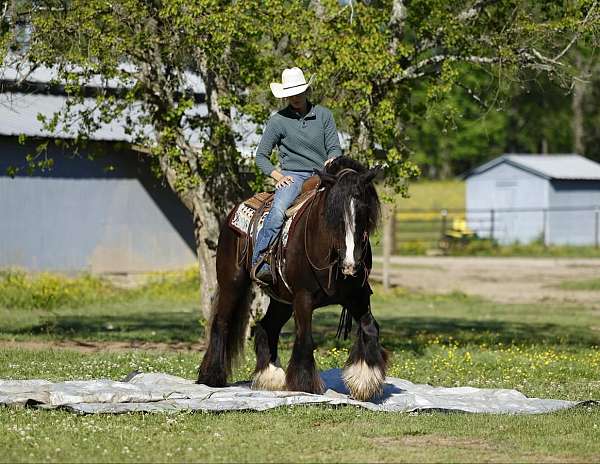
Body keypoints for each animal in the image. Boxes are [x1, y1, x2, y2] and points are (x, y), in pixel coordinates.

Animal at [197, 157, 390, 402]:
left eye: (364, 211)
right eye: (333, 214)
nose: (350, 265)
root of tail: (233, 214)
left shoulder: (357, 296)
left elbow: (370, 328)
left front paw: (365, 381)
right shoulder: (303, 297)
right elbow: (306, 337)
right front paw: (305, 383)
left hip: (281, 300)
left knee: (266, 327)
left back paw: (271, 377)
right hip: (232, 284)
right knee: (222, 323)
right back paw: (212, 376)